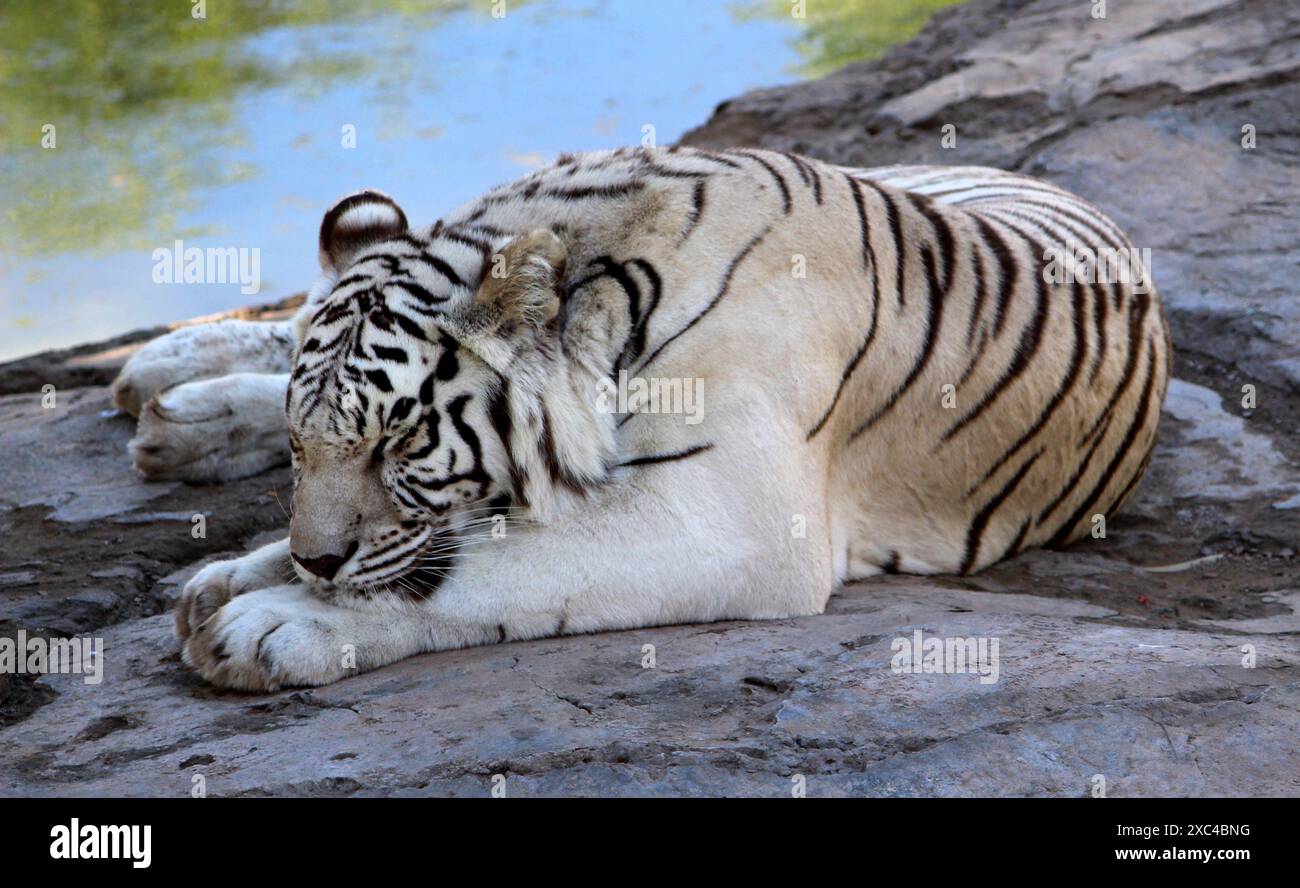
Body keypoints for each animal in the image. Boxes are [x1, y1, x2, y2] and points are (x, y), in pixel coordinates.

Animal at [111, 145, 1170, 691]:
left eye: (399, 442)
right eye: (303, 446)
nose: (319, 559)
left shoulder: (733, 520)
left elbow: (489, 565)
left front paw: (264, 616)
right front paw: (246, 572)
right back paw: (170, 386)